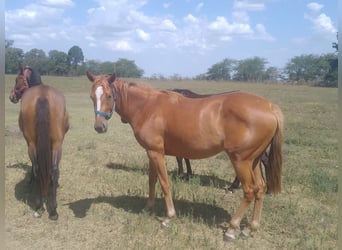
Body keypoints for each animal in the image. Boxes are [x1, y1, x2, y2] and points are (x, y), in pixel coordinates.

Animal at [9, 67, 69, 221]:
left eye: (17, 79)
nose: (11, 97)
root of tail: (43, 95)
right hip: (56, 144)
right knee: (53, 170)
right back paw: (52, 210)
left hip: (32, 144)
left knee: (37, 170)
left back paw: (40, 206)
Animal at [86, 72, 284, 240]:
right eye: (92, 97)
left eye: (108, 96)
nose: (99, 127)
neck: (148, 107)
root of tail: (270, 107)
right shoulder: (151, 153)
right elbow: (152, 181)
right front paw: (148, 208)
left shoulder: (156, 153)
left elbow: (164, 183)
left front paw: (168, 217)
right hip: (253, 161)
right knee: (260, 188)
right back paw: (250, 228)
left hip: (240, 160)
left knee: (249, 190)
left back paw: (232, 229)